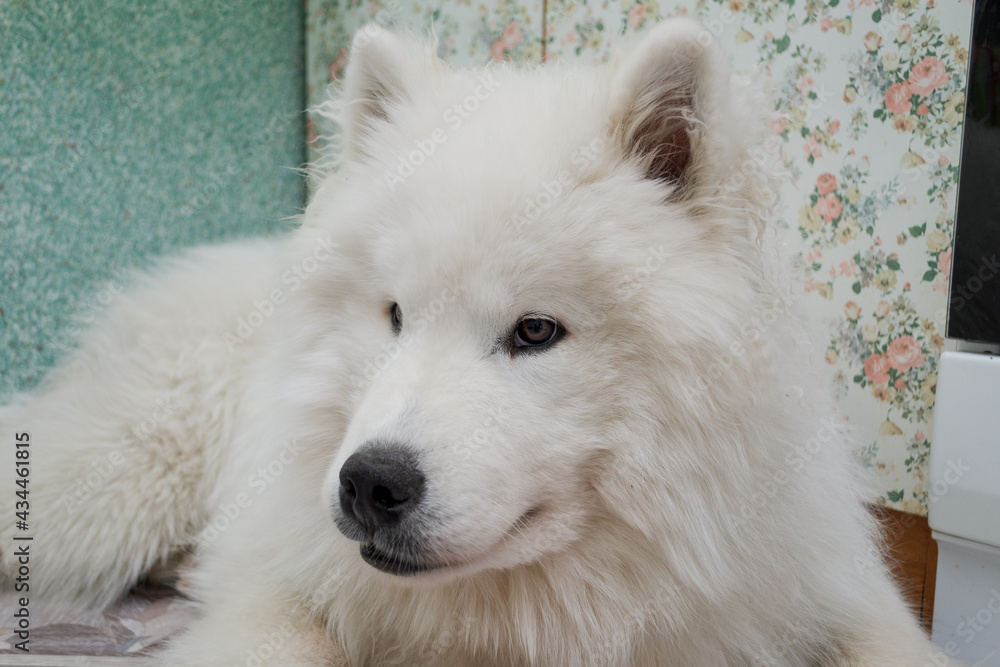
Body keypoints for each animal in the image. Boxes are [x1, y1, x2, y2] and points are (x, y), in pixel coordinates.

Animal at [0, 18, 956, 664]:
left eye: (536, 330)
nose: (369, 483)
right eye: (393, 315)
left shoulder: (818, 581)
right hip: (118, 484)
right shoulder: (278, 575)